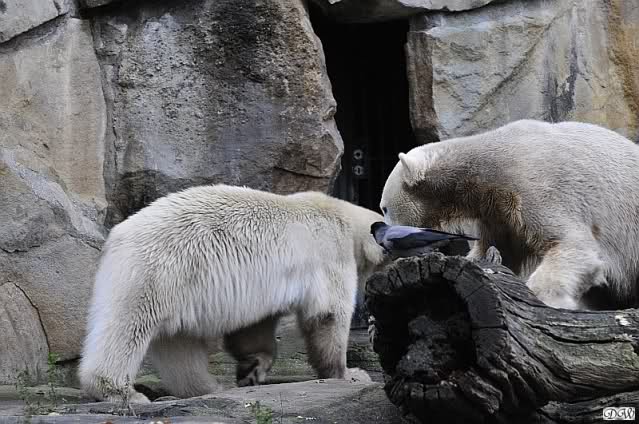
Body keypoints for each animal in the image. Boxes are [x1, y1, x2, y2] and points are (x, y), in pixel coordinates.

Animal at [79, 184, 387, 403]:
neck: (342, 215)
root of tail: (117, 236)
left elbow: (254, 327)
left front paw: (252, 369)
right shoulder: (329, 252)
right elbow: (328, 315)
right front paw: (351, 374)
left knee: (177, 343)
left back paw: (209, 387)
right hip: (158, 271)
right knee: (129, 327)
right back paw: (121, 392)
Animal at [380, 119, 639, 311]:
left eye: (384, 207)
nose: (384, 243)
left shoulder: (535, 185)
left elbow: (572, 244)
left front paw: (550, 300)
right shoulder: (498, 211)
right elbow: (496, 251)